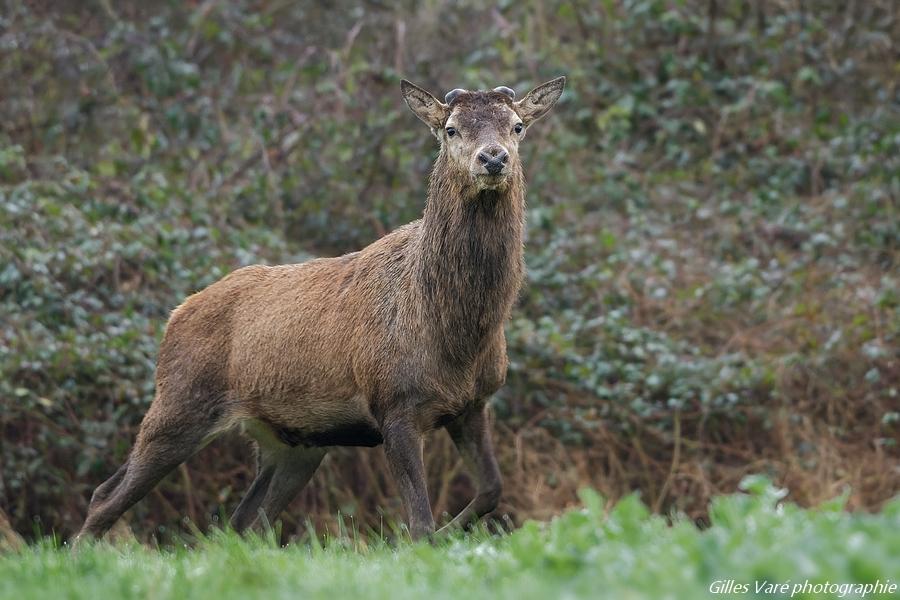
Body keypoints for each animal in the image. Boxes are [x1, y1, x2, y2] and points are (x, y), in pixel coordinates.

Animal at [79, 76, 568, 544]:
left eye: (517, 126)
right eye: (450, 129)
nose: (493, 158)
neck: (456, 337)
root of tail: (175, 315)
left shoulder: (473, 404)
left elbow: (491, 489)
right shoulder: (394, 404)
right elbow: (420, 525)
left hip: (293, 442)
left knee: (242, 522)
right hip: (180, 401)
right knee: (106, 496)